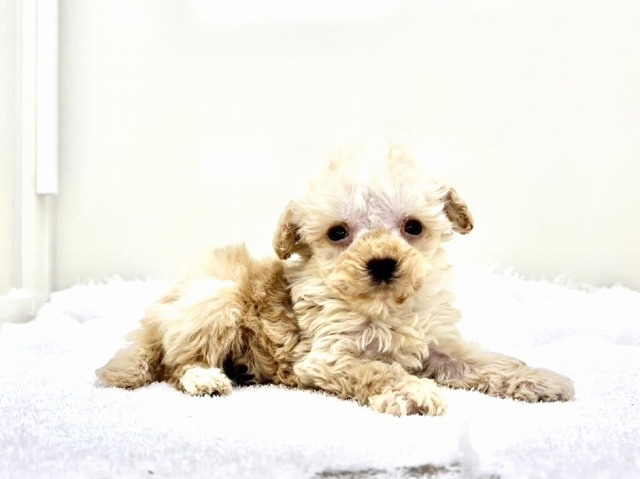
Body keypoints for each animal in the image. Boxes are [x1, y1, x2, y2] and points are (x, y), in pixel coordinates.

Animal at [96, 145, 574, 415]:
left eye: (413, 227)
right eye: (338, 233)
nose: (382, 264)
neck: (384, 307)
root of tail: (156, 318)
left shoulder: (438, 344)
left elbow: (484, 362)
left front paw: (541, 380)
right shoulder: (326, 357)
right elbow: (378, 371)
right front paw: (414, 394)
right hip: (218, 302)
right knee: (177, 364)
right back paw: (207, 380)